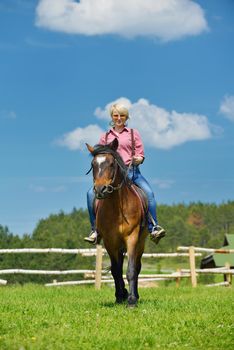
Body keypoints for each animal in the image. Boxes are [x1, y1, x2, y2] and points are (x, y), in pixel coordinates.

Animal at [87, 137, 147, 306]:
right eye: (93, 165)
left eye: (111, 164)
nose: (100, 189)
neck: (117, 207)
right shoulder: (110, 241)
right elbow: (115, 270)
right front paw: (120, 296)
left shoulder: (132, 238)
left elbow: (131, 269)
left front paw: (132, 300)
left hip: (141, 242)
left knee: (138, 266)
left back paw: (135, 295)